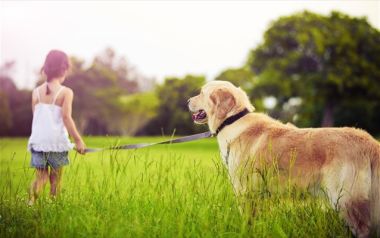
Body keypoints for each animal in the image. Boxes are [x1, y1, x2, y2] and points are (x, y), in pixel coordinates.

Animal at [188, 81, 380, 237]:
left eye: (202, 93)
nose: (187, 101)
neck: (232, 120)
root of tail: (370, 142)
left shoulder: (245, 191)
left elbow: (247, 221)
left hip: (346, 200)